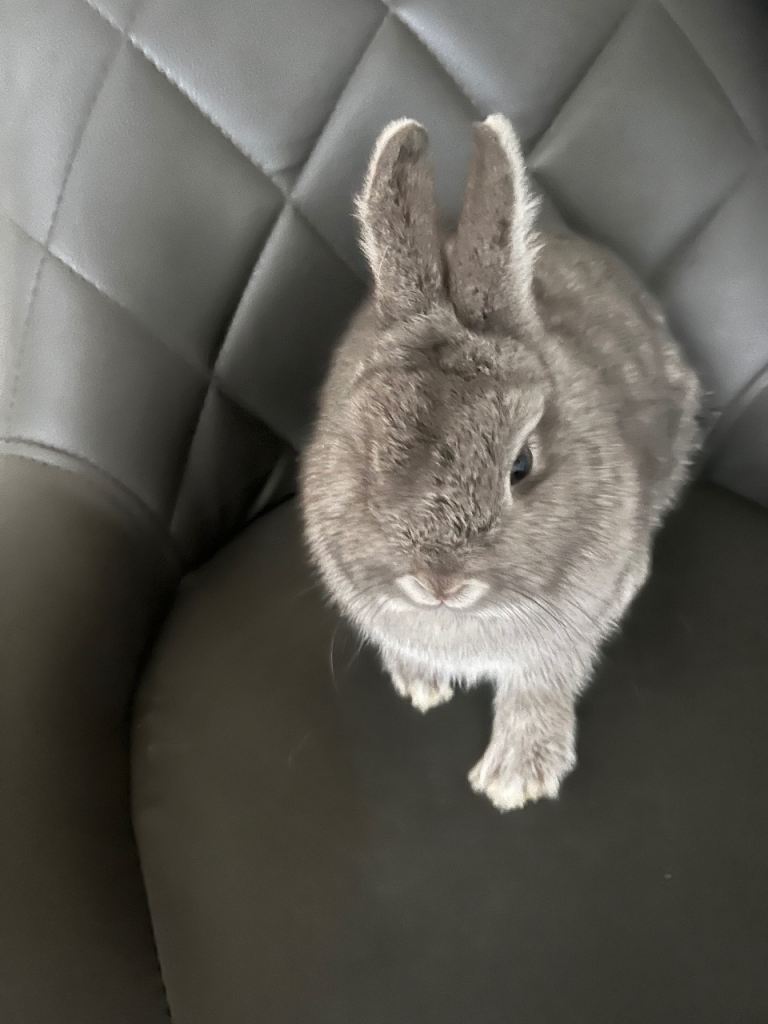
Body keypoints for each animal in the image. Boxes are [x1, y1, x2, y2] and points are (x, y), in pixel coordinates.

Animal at [300, 114, 701, 811]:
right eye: (366, 448)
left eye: (522, 465)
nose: (438, 583)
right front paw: (420, 686)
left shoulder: (575, 623)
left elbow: (540, 684)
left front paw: (515, 780)